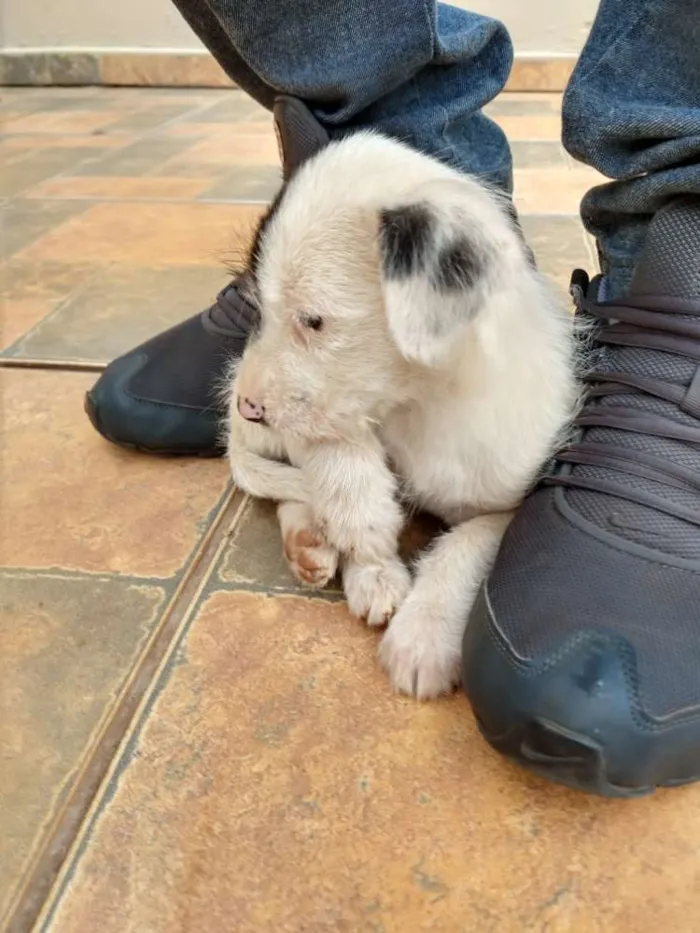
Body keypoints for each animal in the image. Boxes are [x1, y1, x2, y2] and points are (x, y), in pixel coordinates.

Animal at [224, 131, 576, 700]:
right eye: (259, 310)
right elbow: (336, 452)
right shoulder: (323, 415)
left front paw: (424, 633)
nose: (246, 405)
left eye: (314, 321)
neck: (418, 404)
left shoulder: (513, 499)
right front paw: (369, 548)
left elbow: (470, 541)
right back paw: (311, 539)